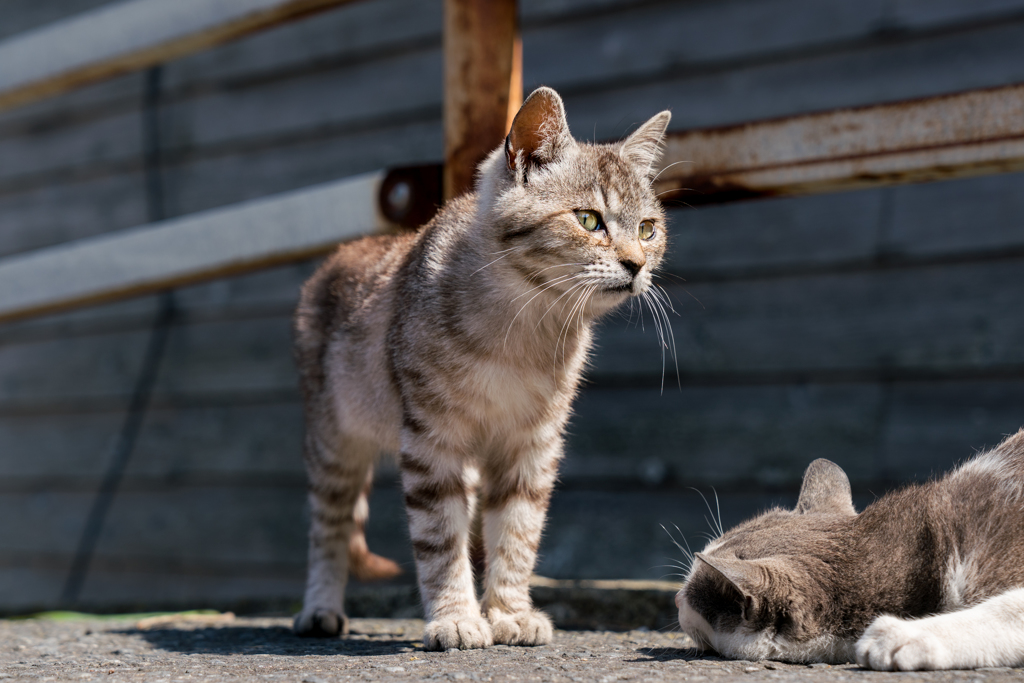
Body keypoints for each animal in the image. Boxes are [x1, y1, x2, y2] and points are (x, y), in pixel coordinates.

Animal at [292, 88, 671, 651]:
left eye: (648, 229)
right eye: (588, 220)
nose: (637, 265)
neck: (524, 323)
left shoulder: (533, 444)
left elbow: (517, 533)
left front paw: (509, 613)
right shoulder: (433, 440)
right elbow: (440, 539)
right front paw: (455, 618)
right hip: (332, 442)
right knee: (329, 528)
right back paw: (320, 609)